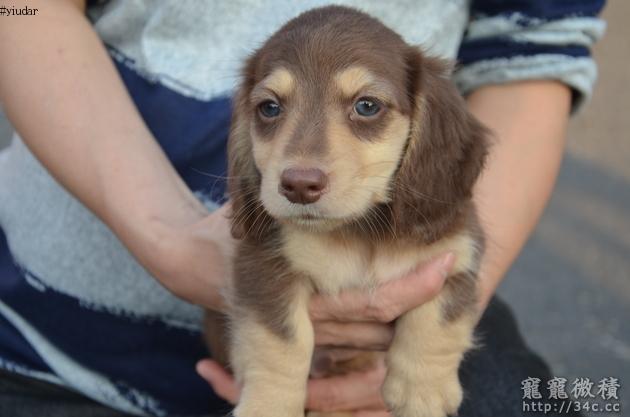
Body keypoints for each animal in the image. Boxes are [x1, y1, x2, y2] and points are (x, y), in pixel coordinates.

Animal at [205, 6, 489, 417]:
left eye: (366, 106)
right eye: (269, 108)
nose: (299, 185)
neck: (359, 232)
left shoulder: (456, 254)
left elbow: (438, 318)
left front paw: (422, 390)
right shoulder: (264, 264)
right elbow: (281, 340)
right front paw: (270, 403)